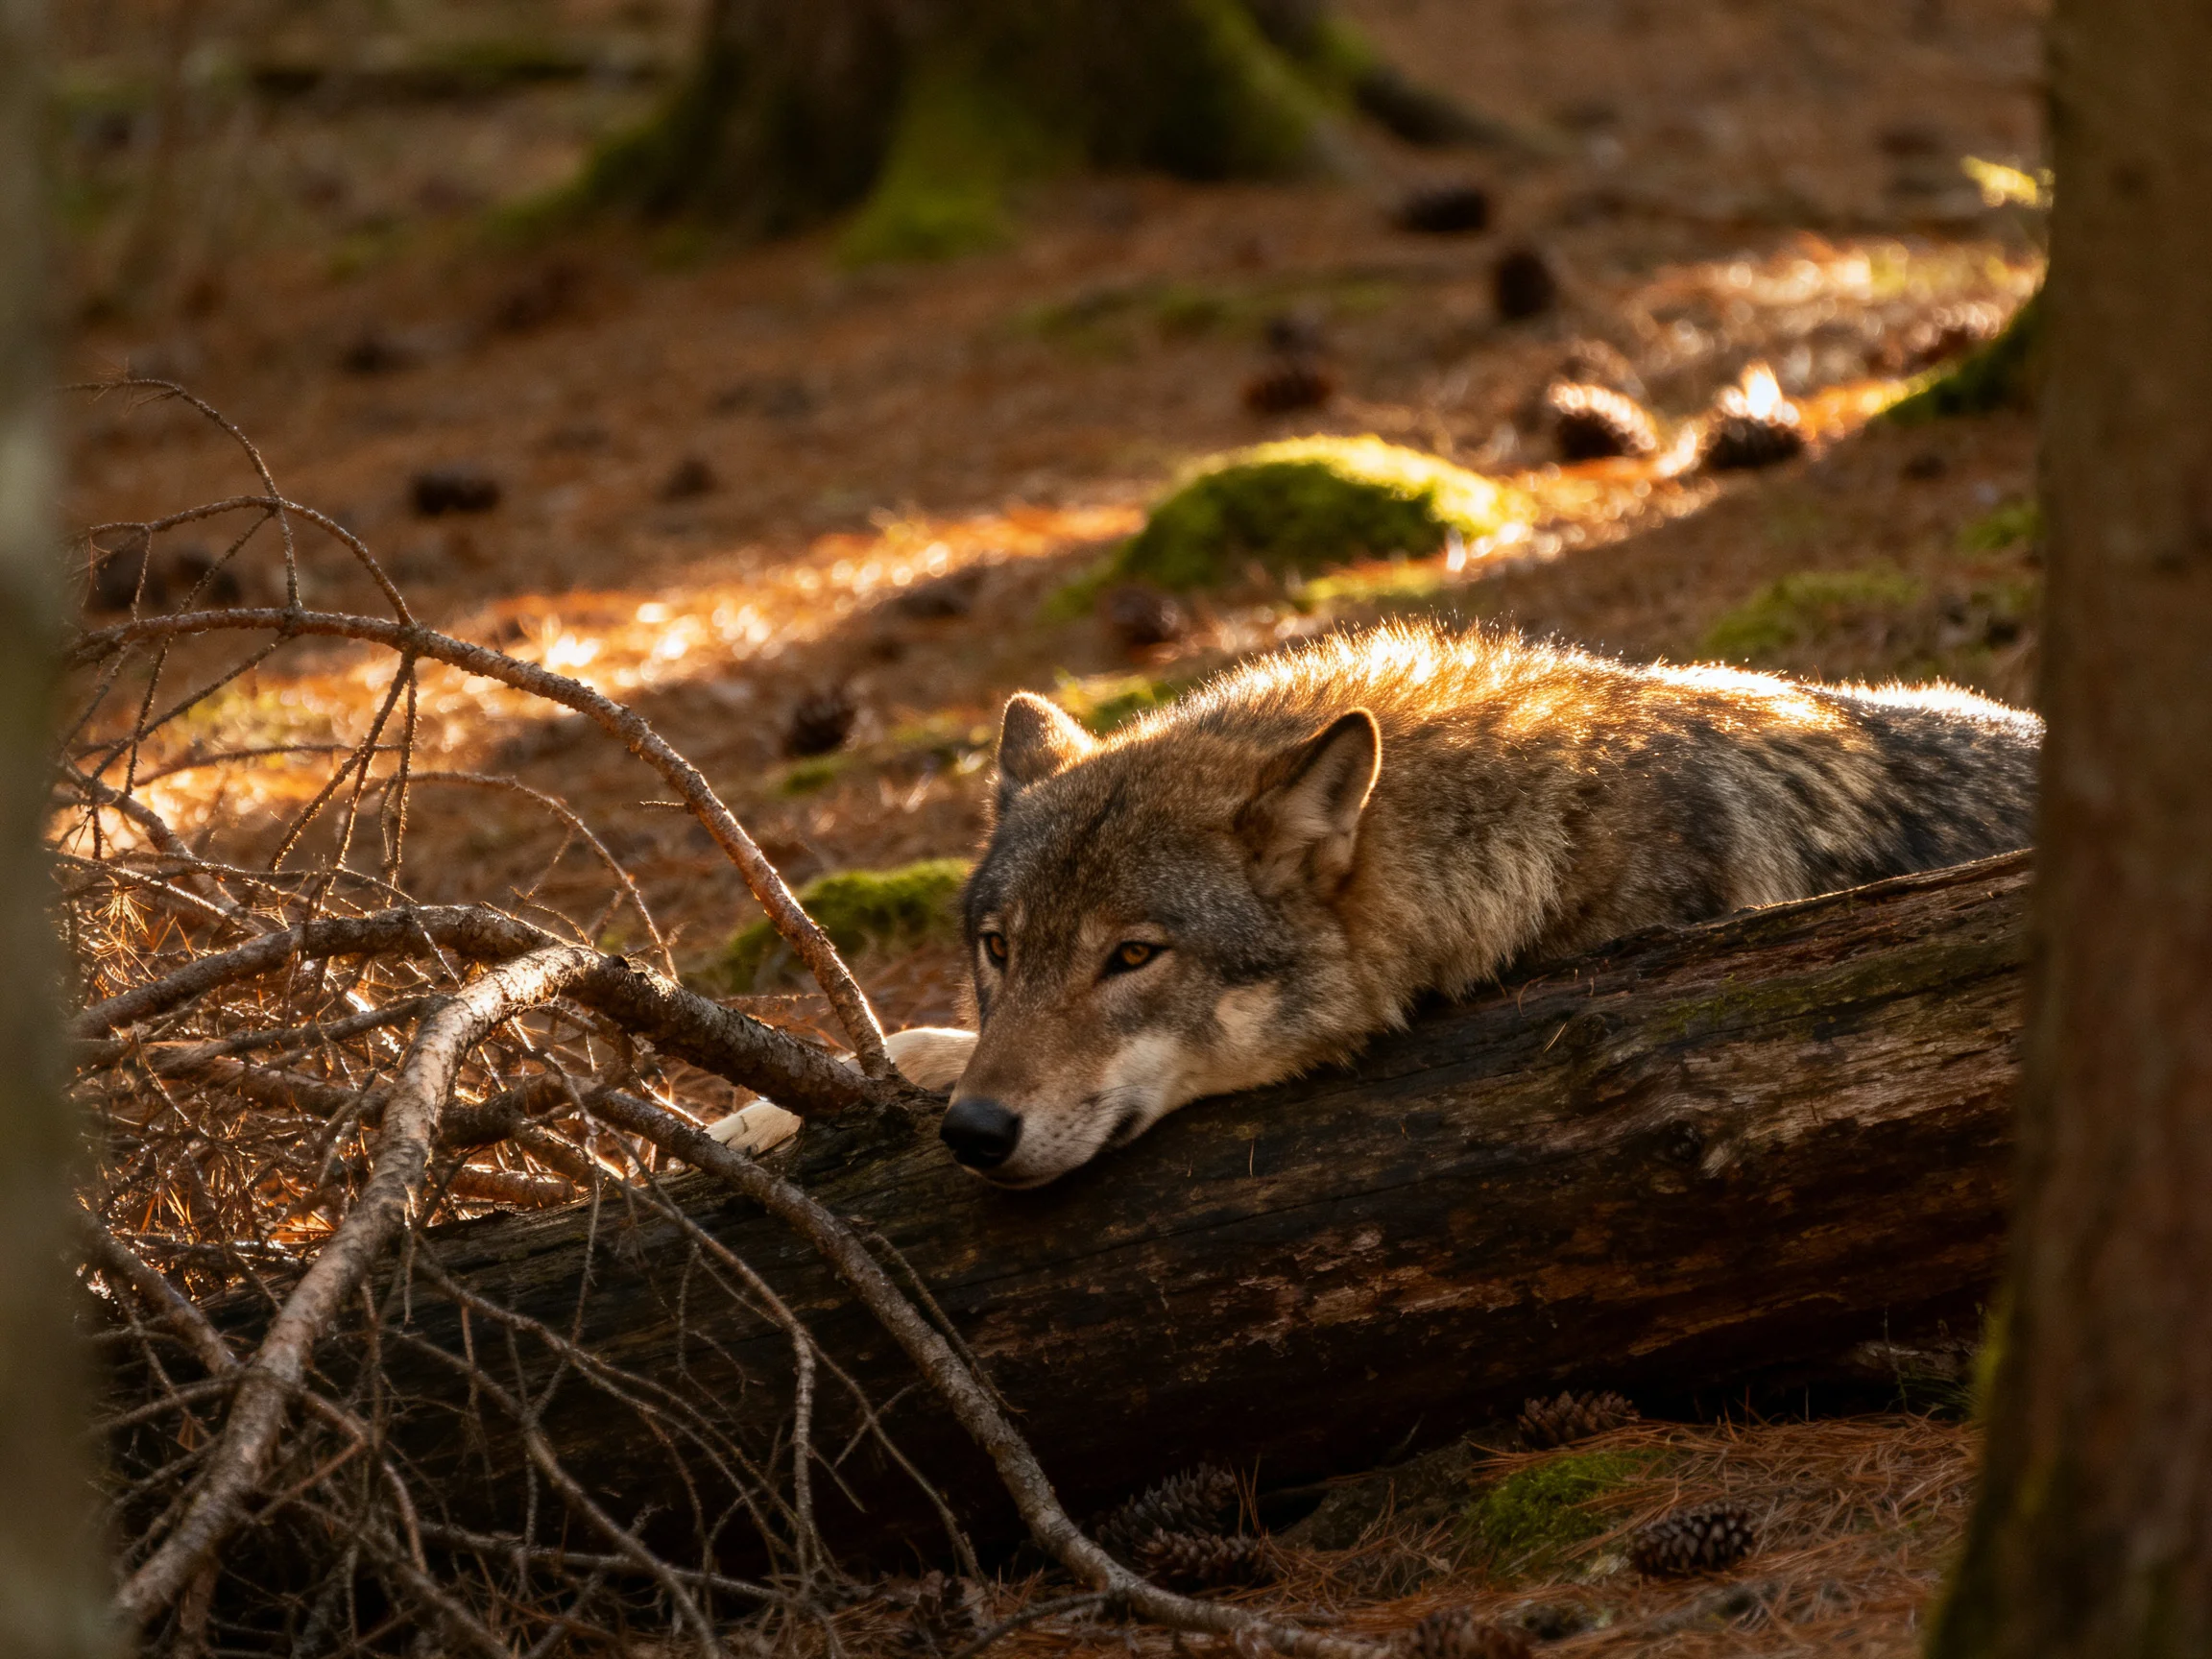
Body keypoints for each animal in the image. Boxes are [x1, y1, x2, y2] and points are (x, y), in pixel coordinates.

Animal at [724, 622, 2040, 1181]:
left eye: (1134, 957)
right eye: (1000, 950)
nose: (976, 1138)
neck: (1538, 843)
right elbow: (922, 1041)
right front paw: (754, 1118)